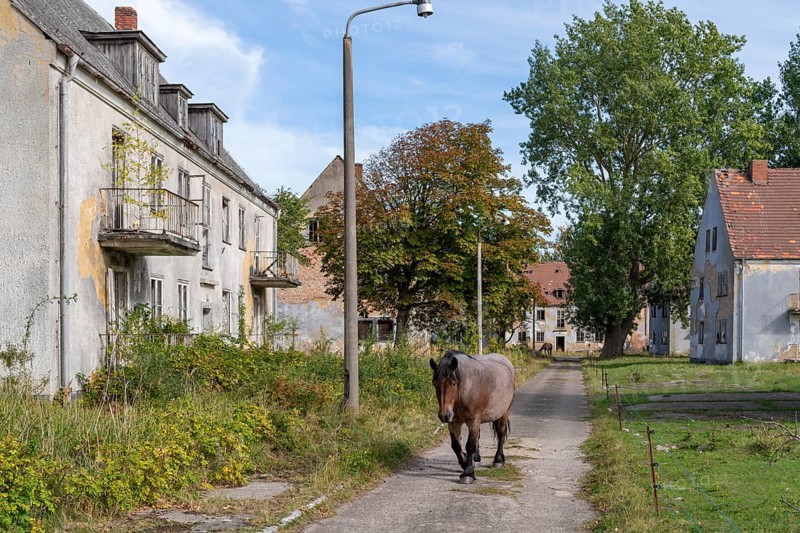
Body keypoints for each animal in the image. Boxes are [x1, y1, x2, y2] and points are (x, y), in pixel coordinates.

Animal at [429, 350, 515, 484]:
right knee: (477, 437)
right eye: (435, 384)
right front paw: (465, 463)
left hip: (503, 412)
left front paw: (468, 473)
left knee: (501, 434)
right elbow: (456, 446)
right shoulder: (453, 422)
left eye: (453, 384)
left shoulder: (474, 420)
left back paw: (498, 460)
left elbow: (469, 445)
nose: (444, 415)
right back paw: (476, 458)